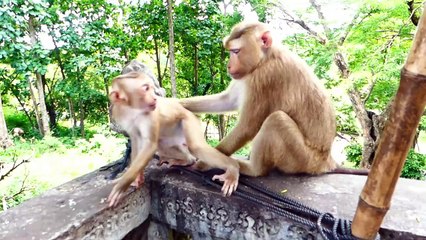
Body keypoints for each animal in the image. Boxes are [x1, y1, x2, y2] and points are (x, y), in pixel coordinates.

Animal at [107, 71, 240, 206]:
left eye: (150, 88)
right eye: (145, 88)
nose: (155, 98)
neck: (132, 109)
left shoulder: (150, 115)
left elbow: (150, 145)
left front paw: (121, 186)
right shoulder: (121, 114)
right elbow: (135, 141)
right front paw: (136, 178)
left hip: (189, 120)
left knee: (195, 147)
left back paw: (233, 168)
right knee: (163, 146)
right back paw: (186, 160)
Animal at [180, 22, 362, 176]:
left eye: (235, 52)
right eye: (231, 51)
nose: (228, 66)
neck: (266, 58)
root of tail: (326, 161)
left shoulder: (265, 78)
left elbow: (247, 127)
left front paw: (205, 162)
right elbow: (227, 100)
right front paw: (175, 103)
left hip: (303, 159)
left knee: (276, 119)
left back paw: (253, 169)